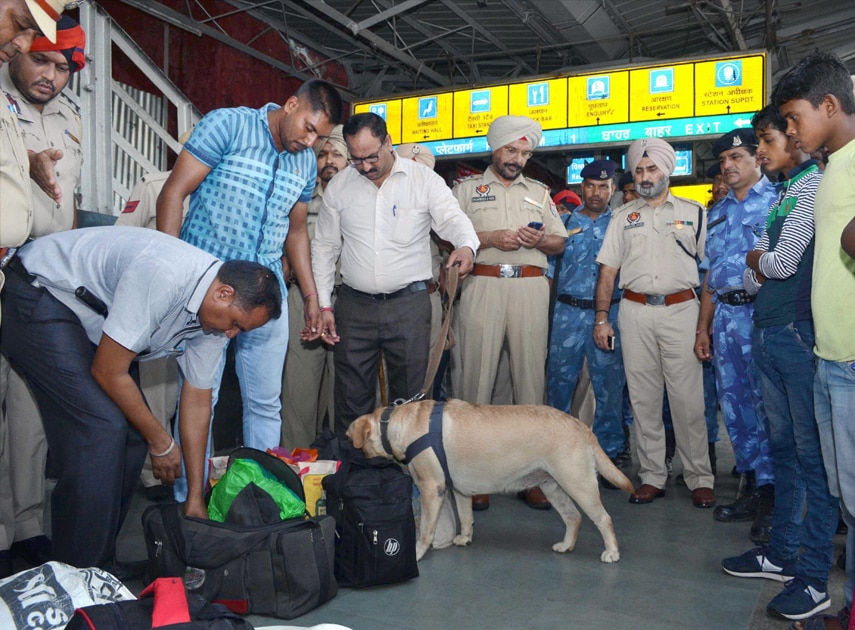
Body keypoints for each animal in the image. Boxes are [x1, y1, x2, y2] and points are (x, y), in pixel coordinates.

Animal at [348, 400, 636, 564]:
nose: (357, 458)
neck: (398, 426)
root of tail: (580, 424)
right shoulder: (459, 490)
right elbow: (466, 518)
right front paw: (465, 538)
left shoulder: (432, 489)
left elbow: (427, 530)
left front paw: (417, 553)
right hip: (553, 486)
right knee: (573, 518)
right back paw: (566, 545)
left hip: (579, 484)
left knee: (604, 519)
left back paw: (612, 553)